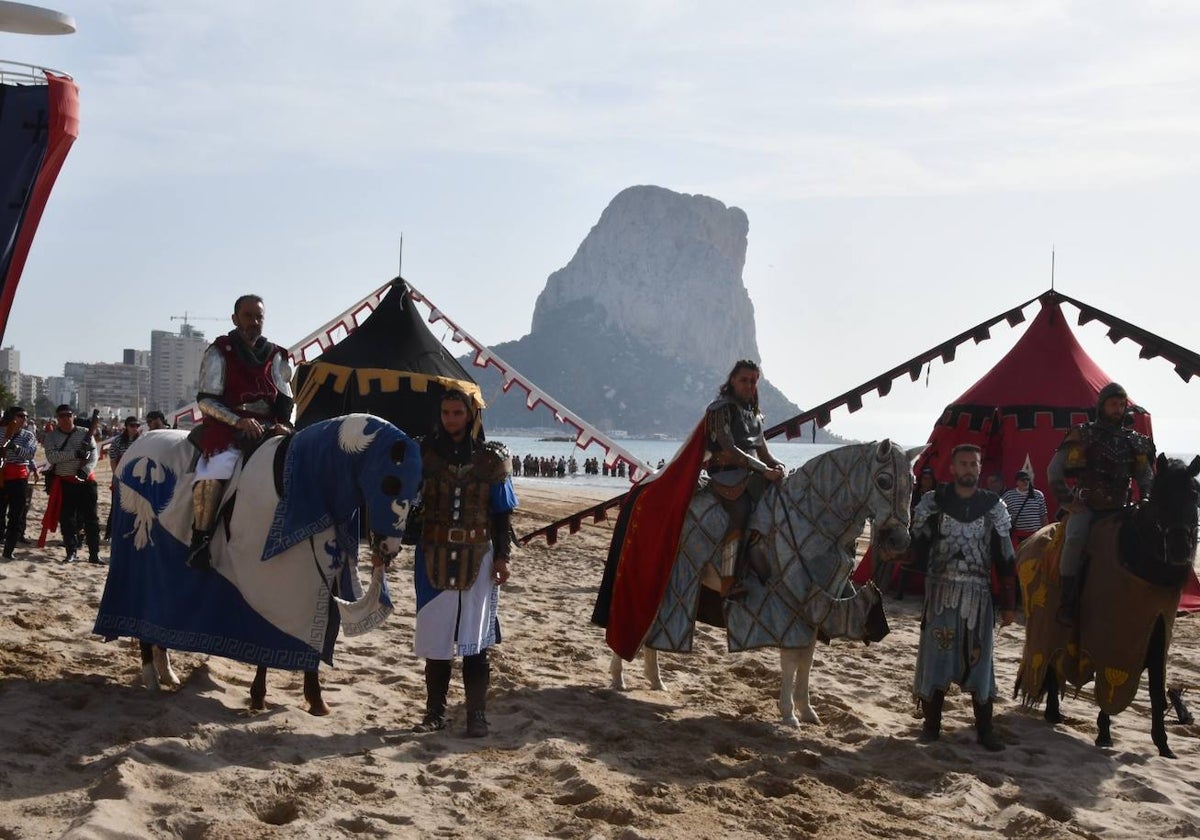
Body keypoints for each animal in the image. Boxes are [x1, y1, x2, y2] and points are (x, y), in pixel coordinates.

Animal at [1017, 456, 1200, 758]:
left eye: (1194, 495)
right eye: (1161, 497)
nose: (1179, 549)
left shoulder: (1157, 629)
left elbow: (1157, 691)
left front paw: (1163, 744)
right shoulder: (1113, 642)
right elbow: (1109, 683)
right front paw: (1104, 733)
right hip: (1044, 625)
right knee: (1049, 663)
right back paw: (1053, 712)